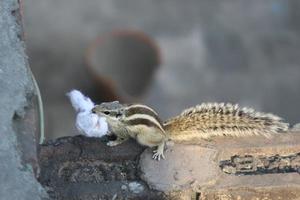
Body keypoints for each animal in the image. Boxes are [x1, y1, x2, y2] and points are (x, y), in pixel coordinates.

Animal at [91, 102, 288, 160]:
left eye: (106, 111)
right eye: (102, 103)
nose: (93, 110)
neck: (119, 118)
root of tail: (164, 129)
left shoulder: (125, 131)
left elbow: (122, 138)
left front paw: (113, 142)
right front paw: (108, 134)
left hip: (143, 138)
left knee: (162, 140)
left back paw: (160, 149)